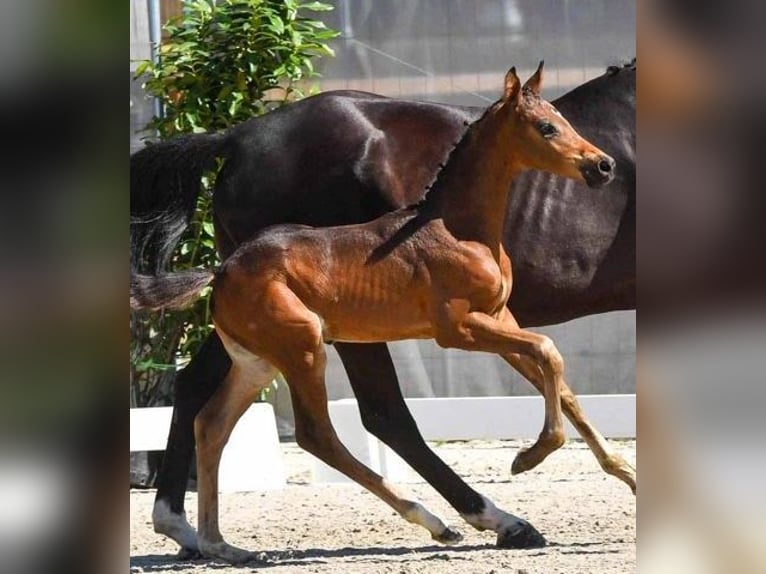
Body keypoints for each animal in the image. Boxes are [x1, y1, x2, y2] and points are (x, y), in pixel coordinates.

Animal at [130, 58, 636, 560]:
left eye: (564, 119)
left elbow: (560, 382)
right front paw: (530, 456)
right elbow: (549, 352)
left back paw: (216, 542)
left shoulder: (499, 317)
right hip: (307, 346)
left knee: (212, 420)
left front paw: (625, 474)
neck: (456, 228)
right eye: (546, 127)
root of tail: (222, 270)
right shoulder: (459, 328)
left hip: (257, 359)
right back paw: (450, 522)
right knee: (335, 429)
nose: (602, 165)